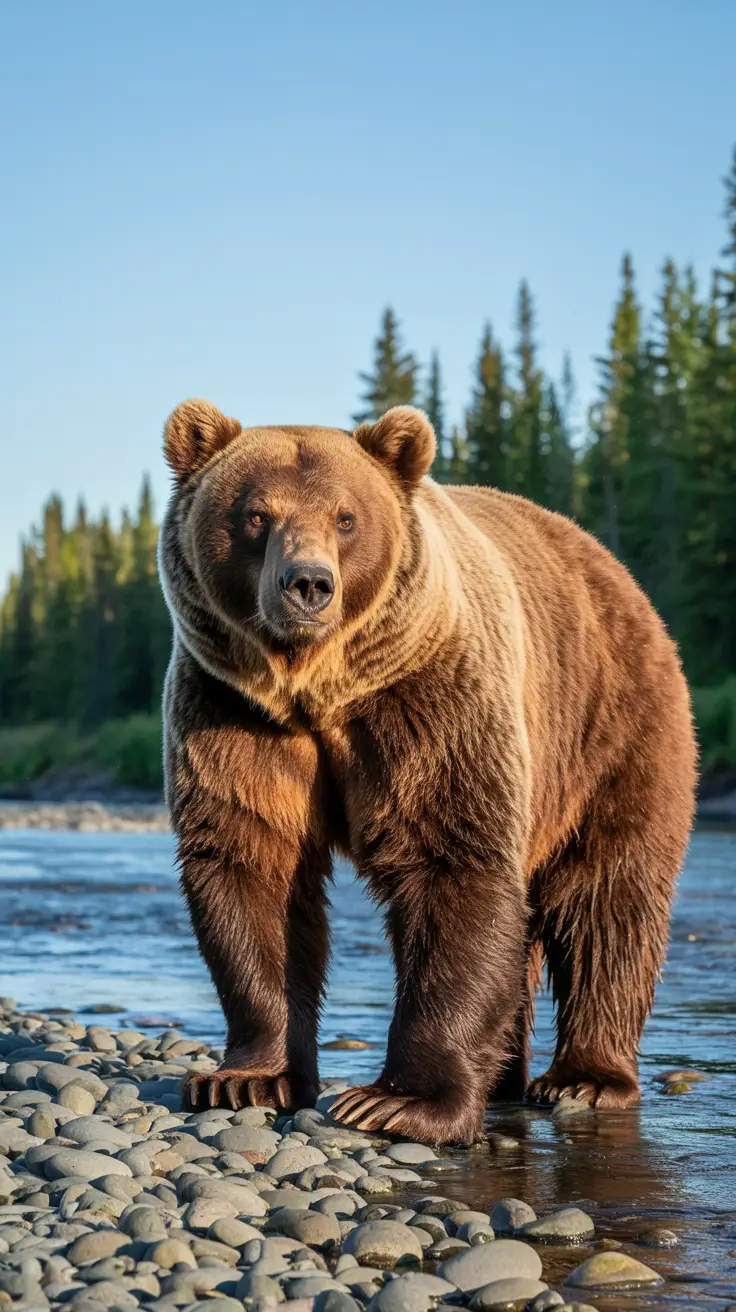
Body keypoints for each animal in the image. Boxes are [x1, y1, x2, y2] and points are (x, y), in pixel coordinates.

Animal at [158, 398, 697, 1145]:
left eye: (346, 517)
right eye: (255, 515)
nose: (308, 584)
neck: (317, 688)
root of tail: (611, 567)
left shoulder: (427, 701)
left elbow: (451, 862)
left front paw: (397, 1101)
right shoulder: (235, 714)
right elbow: (252, 863)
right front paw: (245, 1078)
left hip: (610, 725)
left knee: (607, 899)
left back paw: (585, 1078)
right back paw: (505, 1077)